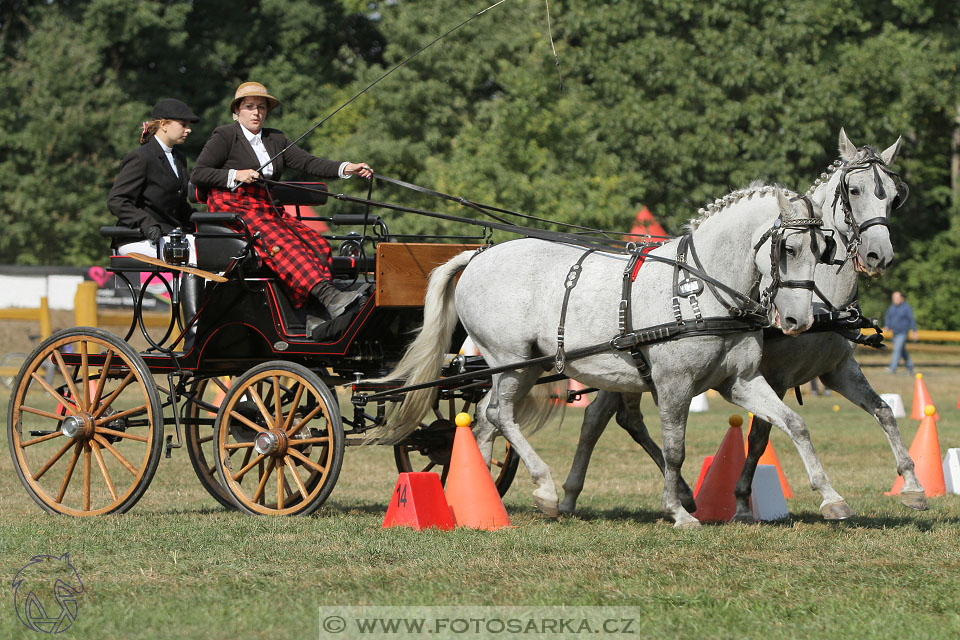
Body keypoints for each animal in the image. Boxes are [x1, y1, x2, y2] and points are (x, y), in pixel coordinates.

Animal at [376, 185, 832, 524]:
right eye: (789, 249)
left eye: (822, 249)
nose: (799, 319)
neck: (699, 289)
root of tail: (479, 255)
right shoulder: (674, 384)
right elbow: (674, 449)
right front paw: (678, 511)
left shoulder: (740, 382)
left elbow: (795, 425)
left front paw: (831, 497)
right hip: (509, 360)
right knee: (499, 415)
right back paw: (544, 488)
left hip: (523, 367)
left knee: (486, 420)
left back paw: (478, 497)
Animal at [560, 130, 928, 520]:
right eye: (854, 190)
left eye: (894, 196)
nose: (879, 256)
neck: (822, 300)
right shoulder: (777, 376)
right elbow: (759, 438)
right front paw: (741, 501)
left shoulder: (838, 370)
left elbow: (884, 411)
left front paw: (913, 486)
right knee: (599, 419)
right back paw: (578, 495)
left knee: (613, 418)